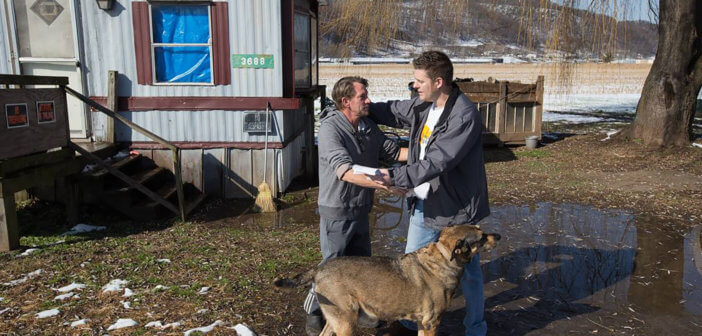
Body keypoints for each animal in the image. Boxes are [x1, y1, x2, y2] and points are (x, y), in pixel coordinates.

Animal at [274, 224, 500, 334]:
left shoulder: (423, 323)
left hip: (338, 320)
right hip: (346, 322)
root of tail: (320, 269)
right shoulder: (431, 323)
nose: (498, 236)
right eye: (481, 237)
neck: (444, 258)